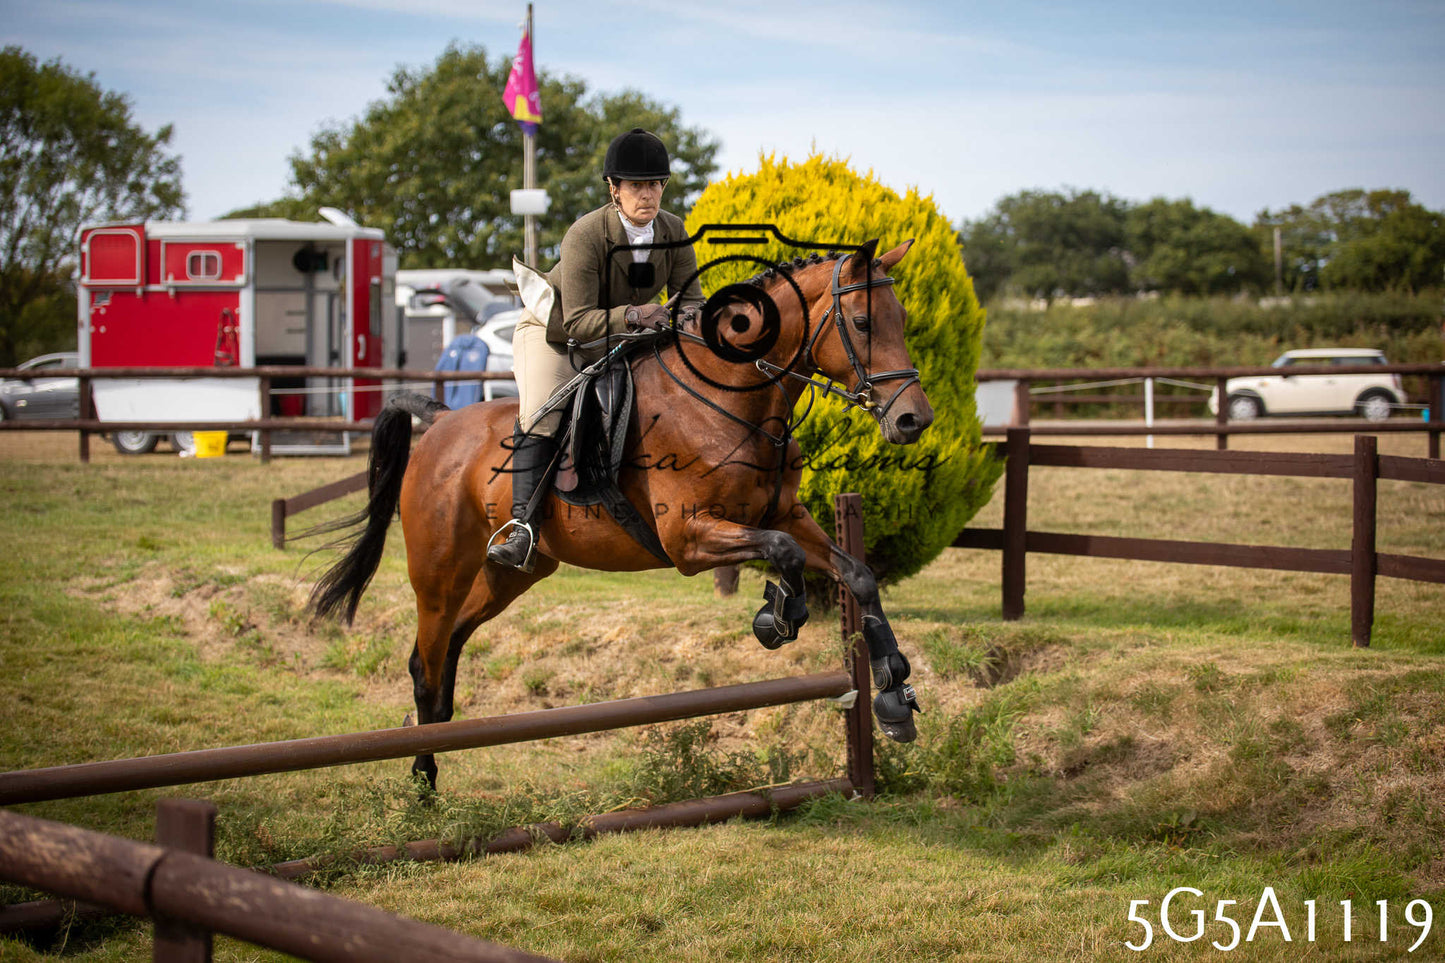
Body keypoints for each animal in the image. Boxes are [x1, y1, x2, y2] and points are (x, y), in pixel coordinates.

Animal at [308, 238, 935, 790]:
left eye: (903, 319)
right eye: (862, 323)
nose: (914, 421)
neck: (728, 399)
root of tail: (439, 422)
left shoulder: (785, 515)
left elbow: (856, 573)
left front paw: (893, 697)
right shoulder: (689, 538)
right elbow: (784, 557)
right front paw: (778, 615)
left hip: (509, 574)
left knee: (451, 651)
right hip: (439, 572)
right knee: (424, 663)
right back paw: (421, 782)